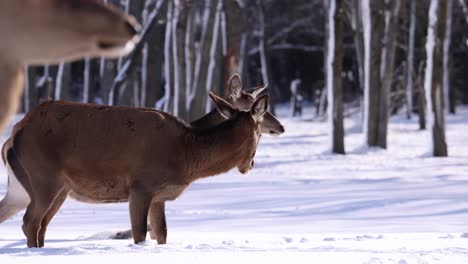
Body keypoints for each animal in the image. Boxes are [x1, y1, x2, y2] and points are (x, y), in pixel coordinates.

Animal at [0, 91, 268, 248]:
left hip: (50, 188)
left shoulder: (160, 196)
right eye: (260, 132)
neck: (185, 157)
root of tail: (15, 132)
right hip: (43, 176)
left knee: (39, 224)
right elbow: (139, 234)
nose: (250, 164)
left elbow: (162, 233)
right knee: (30, 221)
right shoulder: (141, 186)